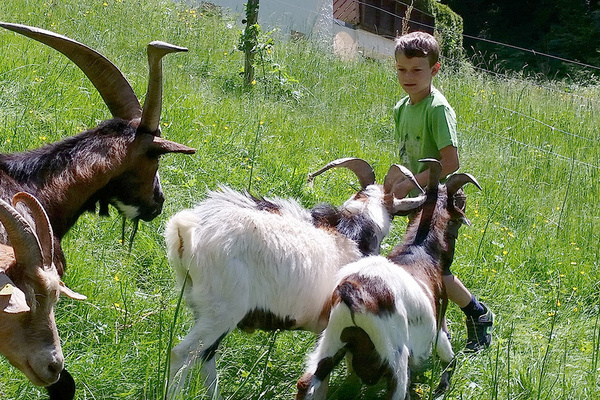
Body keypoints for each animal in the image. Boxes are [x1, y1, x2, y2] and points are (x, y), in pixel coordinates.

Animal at [164, 158, 424, 398]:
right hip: (222, 309)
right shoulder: (330, 323)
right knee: (183, 353)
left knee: (207, 354)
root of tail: (189, 231)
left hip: (202, 306)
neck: (355, 229)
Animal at [298, 159, 480, 400]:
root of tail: (353, 295)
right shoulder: (438, 327)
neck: (419, 250)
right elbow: (450, 361)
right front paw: (441, 390)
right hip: (395, 356)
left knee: (306, 381)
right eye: (456, 222)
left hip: (332, 339)